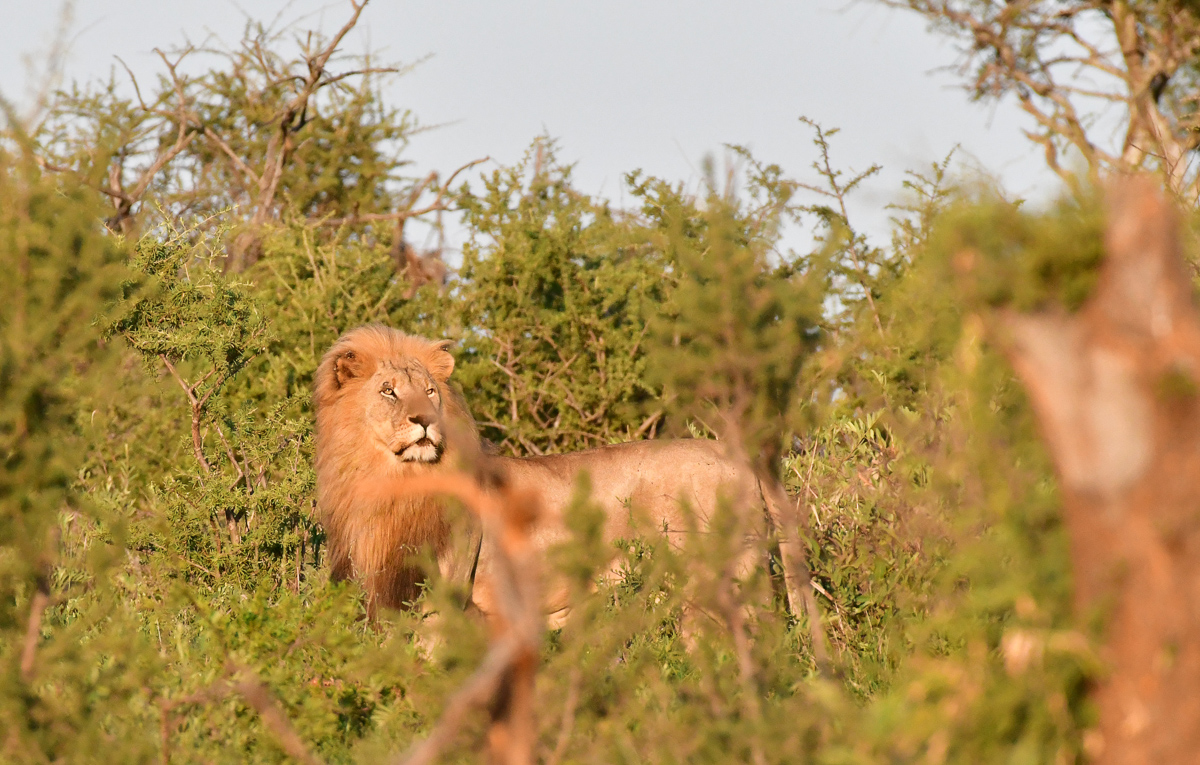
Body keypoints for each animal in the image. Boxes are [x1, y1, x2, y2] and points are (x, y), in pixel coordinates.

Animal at [314, 324, 777, 621]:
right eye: (388, 391)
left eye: (429, 391)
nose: (425, 420)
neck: (394, 484)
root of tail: (738, 458)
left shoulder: (443, 598)